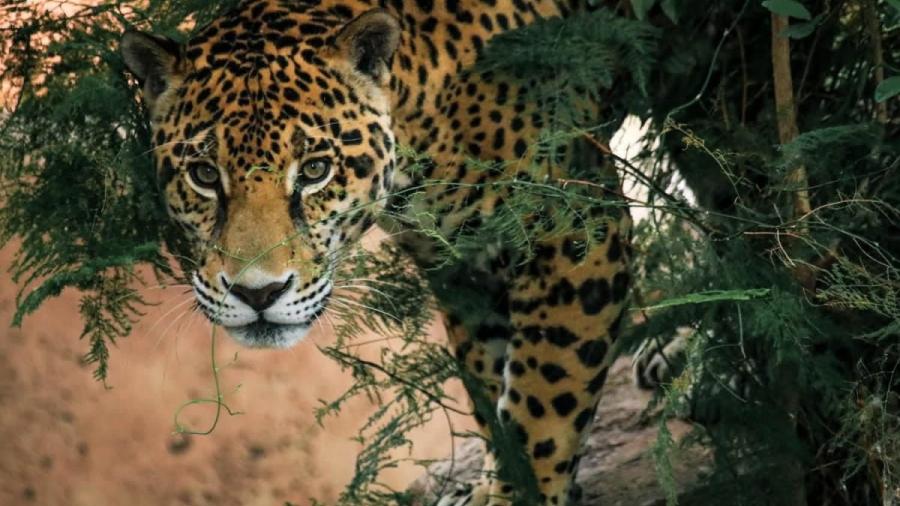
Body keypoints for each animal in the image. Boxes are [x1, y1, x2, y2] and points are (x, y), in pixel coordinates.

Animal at [120, 1, 631, 504]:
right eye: (205, 175)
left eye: (315, 170)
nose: (258, 294)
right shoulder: (464, 271)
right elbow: (490, 387)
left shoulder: (579, 230)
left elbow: (542, 402)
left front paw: (523, 492)